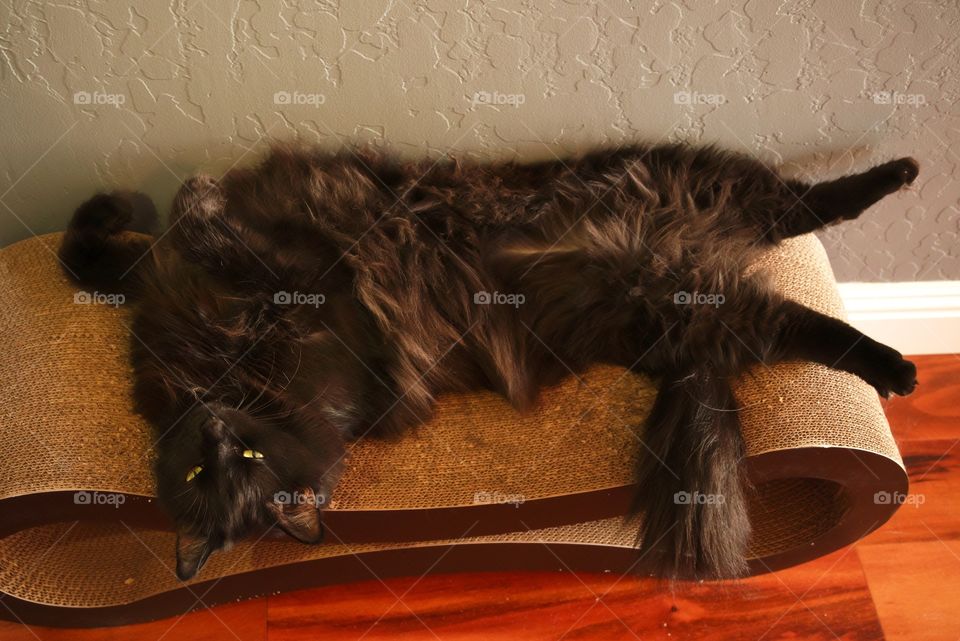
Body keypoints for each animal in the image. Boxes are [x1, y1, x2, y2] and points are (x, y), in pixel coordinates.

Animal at [56, 144, 920, 580]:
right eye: (206, 474)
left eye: (243, 459)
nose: (213, 435)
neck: (227, 376)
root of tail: (687, 245)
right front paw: (187, 206)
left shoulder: (274, 282)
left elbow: (102, 244)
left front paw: (168, 200)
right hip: (692, 311)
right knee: (801, 315)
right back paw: (898, 367)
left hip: (684, 174)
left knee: (805, 201)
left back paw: (901, 175)